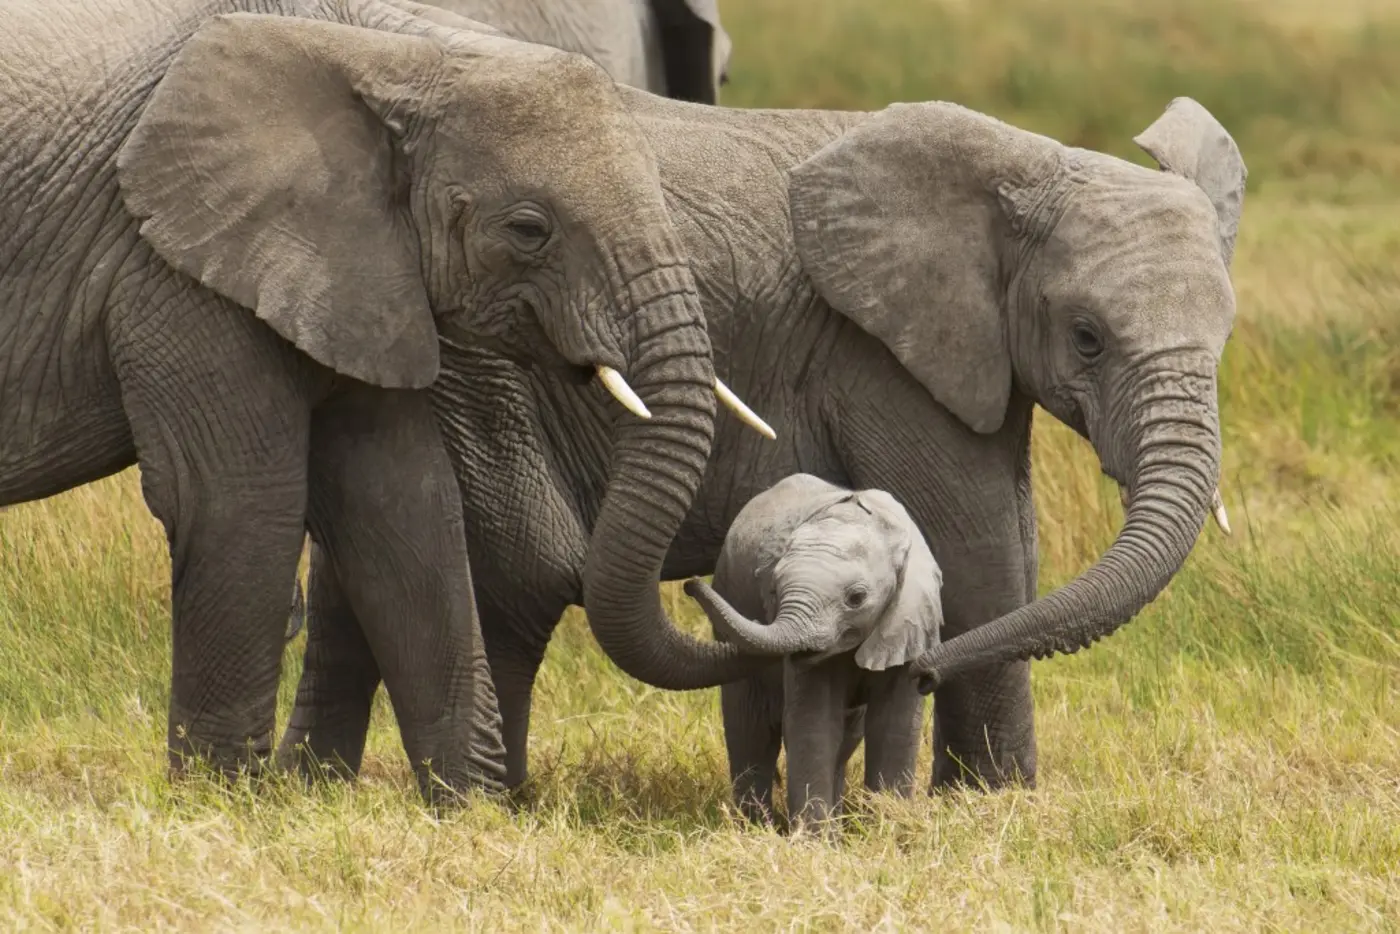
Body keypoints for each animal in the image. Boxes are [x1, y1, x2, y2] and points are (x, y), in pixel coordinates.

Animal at [0, 0, 773, 803]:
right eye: (529, 229)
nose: (707, 589)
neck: (390, 49)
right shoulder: (175, 260)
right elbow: (235, 500)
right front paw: (223, 801)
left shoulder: (358, 269)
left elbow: (404, 506)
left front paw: (475, 809)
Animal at [681, 474, 942, 829]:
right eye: (773, 590)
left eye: (857, 598)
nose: (690, 584)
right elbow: (813, 724)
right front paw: (814, 841)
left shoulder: (908, 618)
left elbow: (894, 725)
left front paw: (889, 829)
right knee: (750, 732)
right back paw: (755, 827)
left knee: (845, 737)